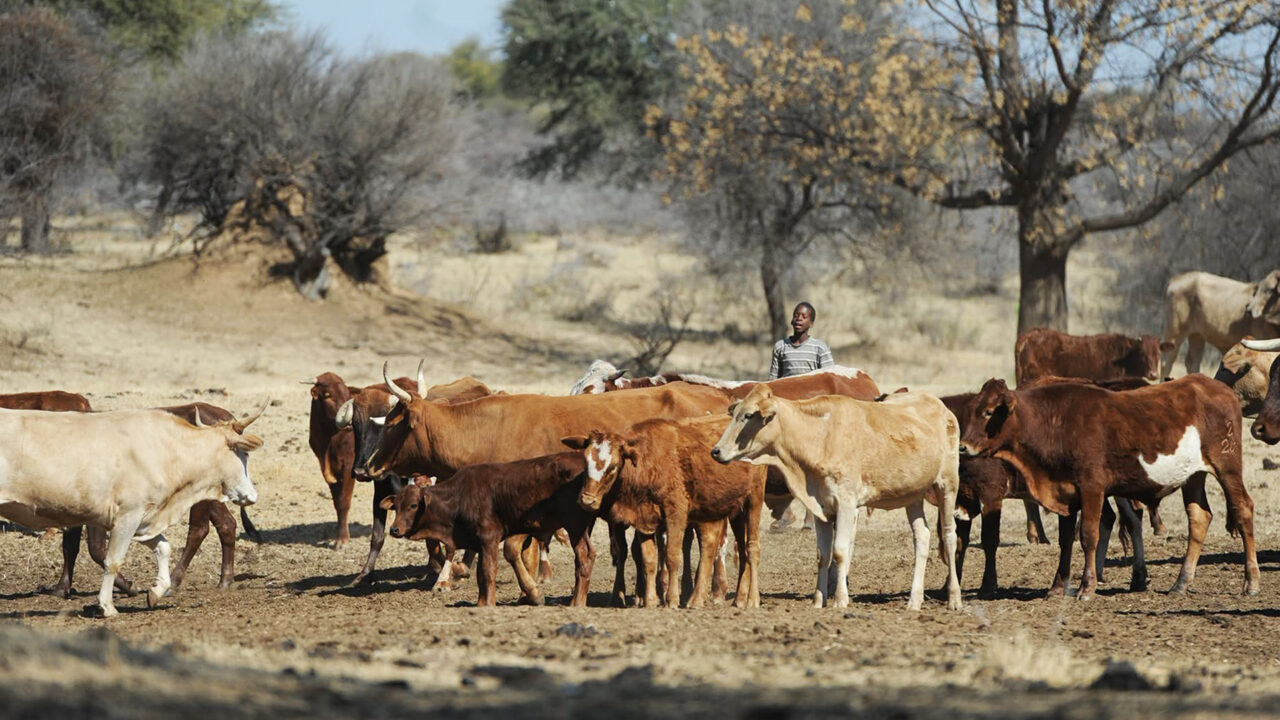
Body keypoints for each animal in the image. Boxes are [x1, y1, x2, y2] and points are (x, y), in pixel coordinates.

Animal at [0, 405, 264, 617]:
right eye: (244, 453)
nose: (252, 495)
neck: (166, 450)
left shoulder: (144, 519)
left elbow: (163, 547)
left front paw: (157, 591)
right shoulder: (127, 516)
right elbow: (113, 561)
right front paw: (107, 606)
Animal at [381, 452, 596, 607]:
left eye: (413, 505)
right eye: (396, 506)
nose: (394, 529)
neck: (459, 496)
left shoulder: (489, 537)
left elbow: (488, 570)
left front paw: (489, 604)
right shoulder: (478, 542)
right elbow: (479, 575)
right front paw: (481, 603)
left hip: (575, 525)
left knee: (584, 556)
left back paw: (576, 602)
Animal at [566, 414, 766, 609]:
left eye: (613, 466)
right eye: (585, 461)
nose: (587, 500)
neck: (648, 462)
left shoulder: (675, 514)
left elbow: (672, 557)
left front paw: (671, 599)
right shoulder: (643, 517)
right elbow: (649, 559)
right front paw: (650, 600)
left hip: (754, 498)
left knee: (752, 548)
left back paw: (751, 600)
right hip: (729, 509)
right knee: (718, 545)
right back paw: (722, 598)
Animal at [710, 385, 962, 612]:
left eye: (748, 415)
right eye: (735, 413)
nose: (716, 451)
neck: (821, 437)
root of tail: (941, 406)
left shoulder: (846, 504)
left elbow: (840, 551)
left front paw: (840, 600)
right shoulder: (821, 509)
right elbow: (823, 555)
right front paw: (818, 601)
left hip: (948, 485)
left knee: (949, 536)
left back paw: (954, 599)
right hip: (913, 495)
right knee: (922, 536)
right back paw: (914, 601)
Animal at [957, 375, 1258, 600]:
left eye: (988, 412)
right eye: (971, 411)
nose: (962, 446)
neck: (1055, 423)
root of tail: (1218, 388)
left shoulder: (1092, 488)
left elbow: (1089, 536)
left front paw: (1086, 587)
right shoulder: (1066, 493)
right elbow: (1066, 540)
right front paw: (1057, 587)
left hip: (1227, 465)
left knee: (1243, 508)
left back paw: (1251, 582)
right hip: (1194, 476)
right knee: (1199, 518)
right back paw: (1180, 583)